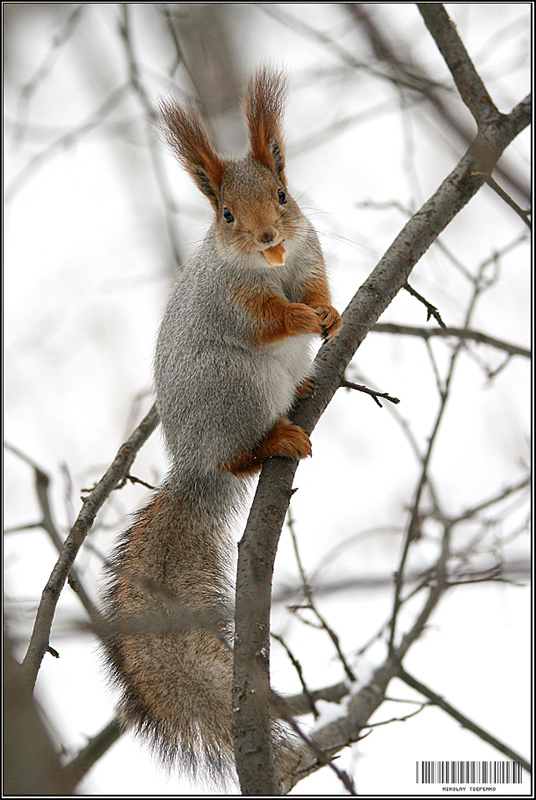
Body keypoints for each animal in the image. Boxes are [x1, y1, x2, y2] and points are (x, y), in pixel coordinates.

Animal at [100, 67, 344, 788]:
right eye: (226, 216)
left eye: (284, 195)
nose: (266, 237)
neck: (272, 266)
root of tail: (195, 466)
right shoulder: (233, 301)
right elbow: (268, 320)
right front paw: (301, 321)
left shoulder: (311, 253)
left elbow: (318, 285)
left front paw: (328, 313)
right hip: (236, 390)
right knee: (241, 454)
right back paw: (274, 440)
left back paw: (306, 387)